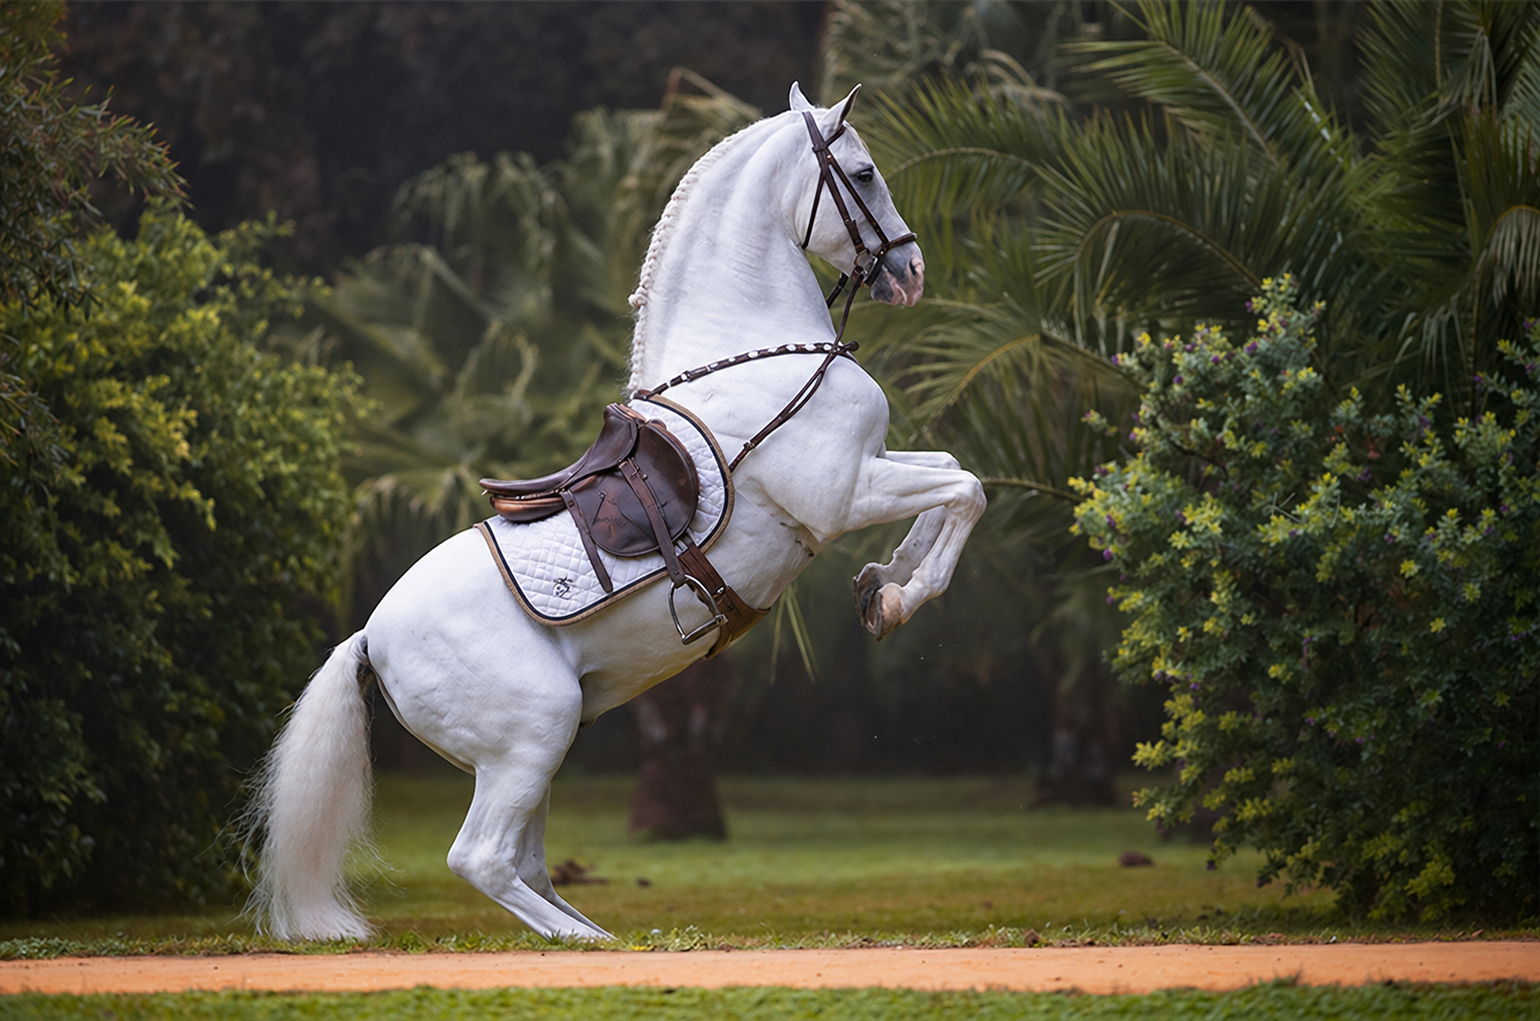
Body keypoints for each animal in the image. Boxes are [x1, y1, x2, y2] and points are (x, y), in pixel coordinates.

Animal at [248, 82, 986, 942]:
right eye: (863, 173)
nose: (910, 269)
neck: (758, 356)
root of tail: (370, 637)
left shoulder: (870, 468)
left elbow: (952, 475)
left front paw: (879, 584)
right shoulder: (842, 492)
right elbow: (966, 489)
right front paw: (899, 596)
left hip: (533, 753)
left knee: (523, 861)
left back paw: (598, 933)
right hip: (532, 735)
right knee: (481, 858)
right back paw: (586, 941)